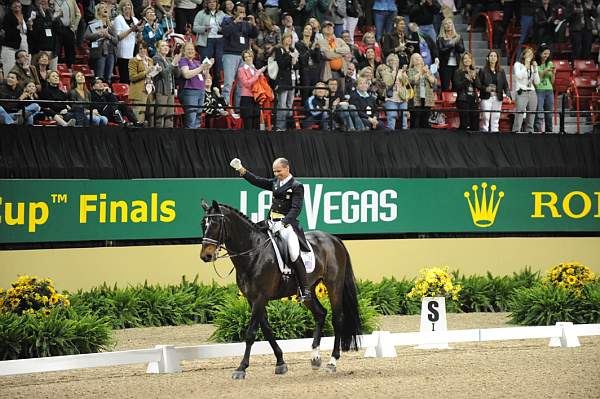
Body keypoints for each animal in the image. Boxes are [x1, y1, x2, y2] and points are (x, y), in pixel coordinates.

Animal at [200, 202, 360, 380]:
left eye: (215, 224)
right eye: (202, 224)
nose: (206, 256)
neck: (253, 252)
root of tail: (334, 239)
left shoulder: (260, 298)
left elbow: (251, 333)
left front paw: (241, 368)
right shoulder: (252, 299)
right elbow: (267, 330)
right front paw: (280, 363)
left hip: (334, 286)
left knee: (337, 318)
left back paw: (332, 362)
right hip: (308, 290)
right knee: (320, 313)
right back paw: (315, 358)